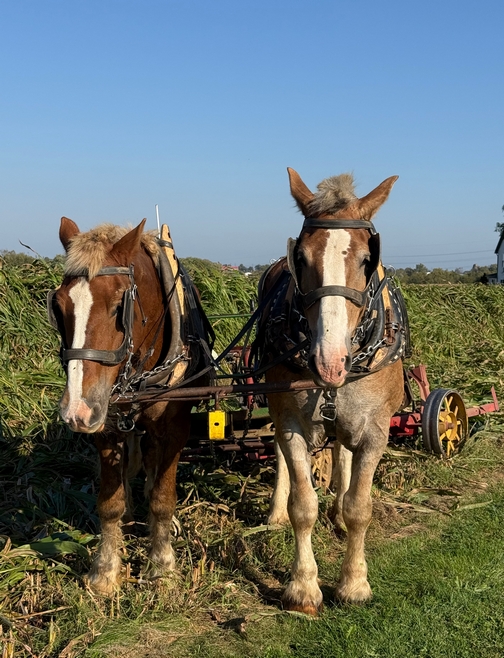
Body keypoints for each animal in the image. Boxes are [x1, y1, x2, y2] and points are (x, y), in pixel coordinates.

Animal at [47, 217, 212, 594]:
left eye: (117, 306)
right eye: (59, 306)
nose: (76, 411)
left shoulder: (174, 428)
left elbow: (163, 498)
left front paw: (162, 566)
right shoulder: (105, 426)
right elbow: (109, 503)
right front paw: (106, 570)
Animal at [255, 168, 407, 614]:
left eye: (366, 259)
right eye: (301, 258)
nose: (329, 361)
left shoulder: (376, 430)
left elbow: (360, 506)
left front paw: (354, 583)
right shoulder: (290, 422)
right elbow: (303, 506)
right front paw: (303, 587)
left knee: (342, 452)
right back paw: (275, 513)